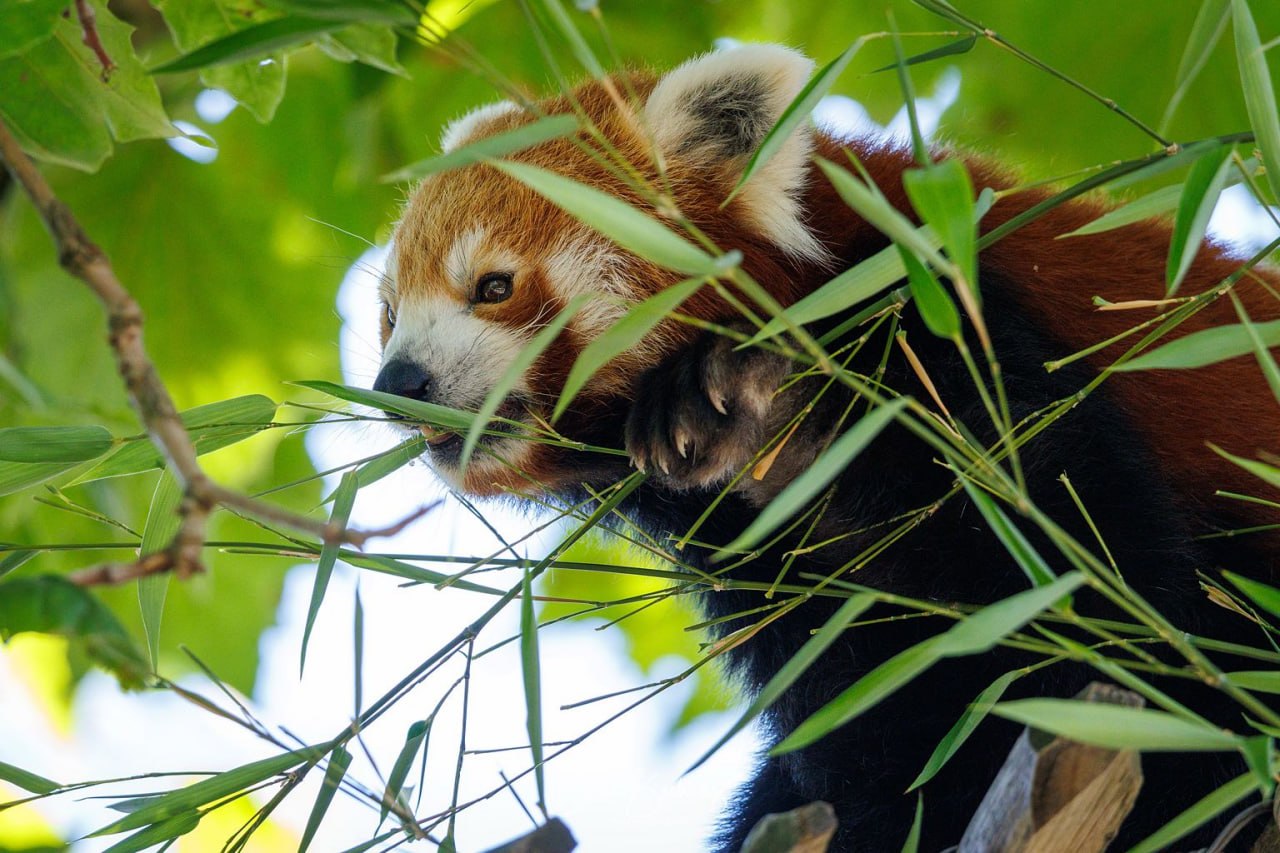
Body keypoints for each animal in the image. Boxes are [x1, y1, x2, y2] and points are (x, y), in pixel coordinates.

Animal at [372, 43, 1280, 851]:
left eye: (493, 286)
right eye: (388, 312)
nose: (396, 380)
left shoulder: (959, 345)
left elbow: (1110, 621)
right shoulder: (786, 569)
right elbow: (873, 714)